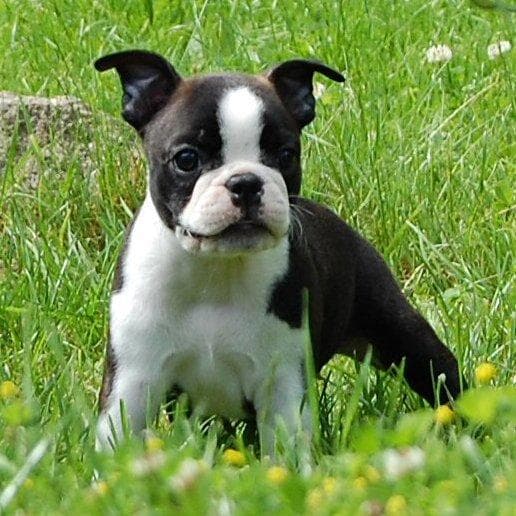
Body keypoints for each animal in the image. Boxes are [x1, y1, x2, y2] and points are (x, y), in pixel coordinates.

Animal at [94, 50, 462, 454]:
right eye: (186, 159)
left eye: (286, 154)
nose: (245, 182)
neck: (216, 270)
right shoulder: (134, 378)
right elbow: (116, 438)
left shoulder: (282, 383)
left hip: (396, 329)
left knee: (441, 372)